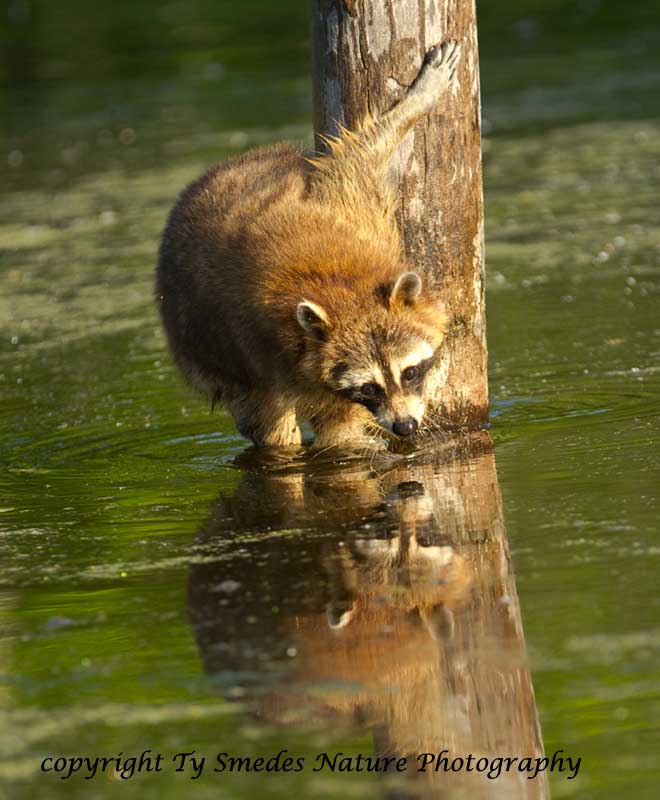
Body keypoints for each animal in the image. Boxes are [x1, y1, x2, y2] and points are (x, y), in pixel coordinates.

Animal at [157, 41, 461, 449]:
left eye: (410, 372)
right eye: (369, 388)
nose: (405, 426)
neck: (337, 280)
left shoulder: (350, 207)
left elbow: (363, 154)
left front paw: (417, 99)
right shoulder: (291, 360)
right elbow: (338, 432)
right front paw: (416, 100)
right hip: (209, 354)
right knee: (265, 418)